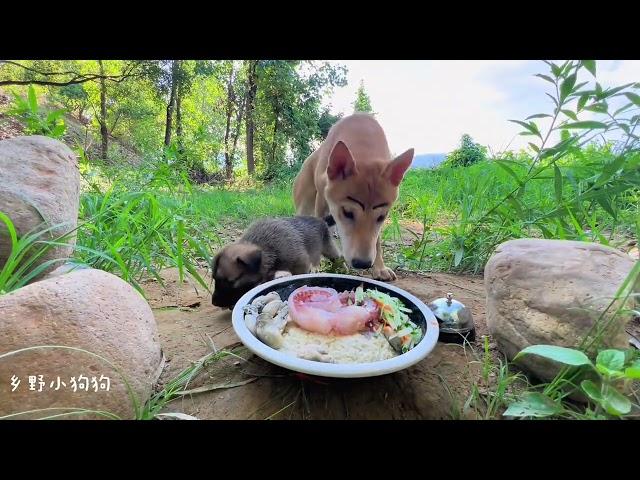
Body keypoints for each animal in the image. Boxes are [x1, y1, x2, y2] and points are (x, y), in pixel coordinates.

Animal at [292, 112, 412, 282]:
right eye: (347, 212)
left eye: (381, 217)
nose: (362, 263)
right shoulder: (322, 201)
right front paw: (316, 265)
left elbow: (376, 241)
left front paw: (379, 267)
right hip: (305, 202)